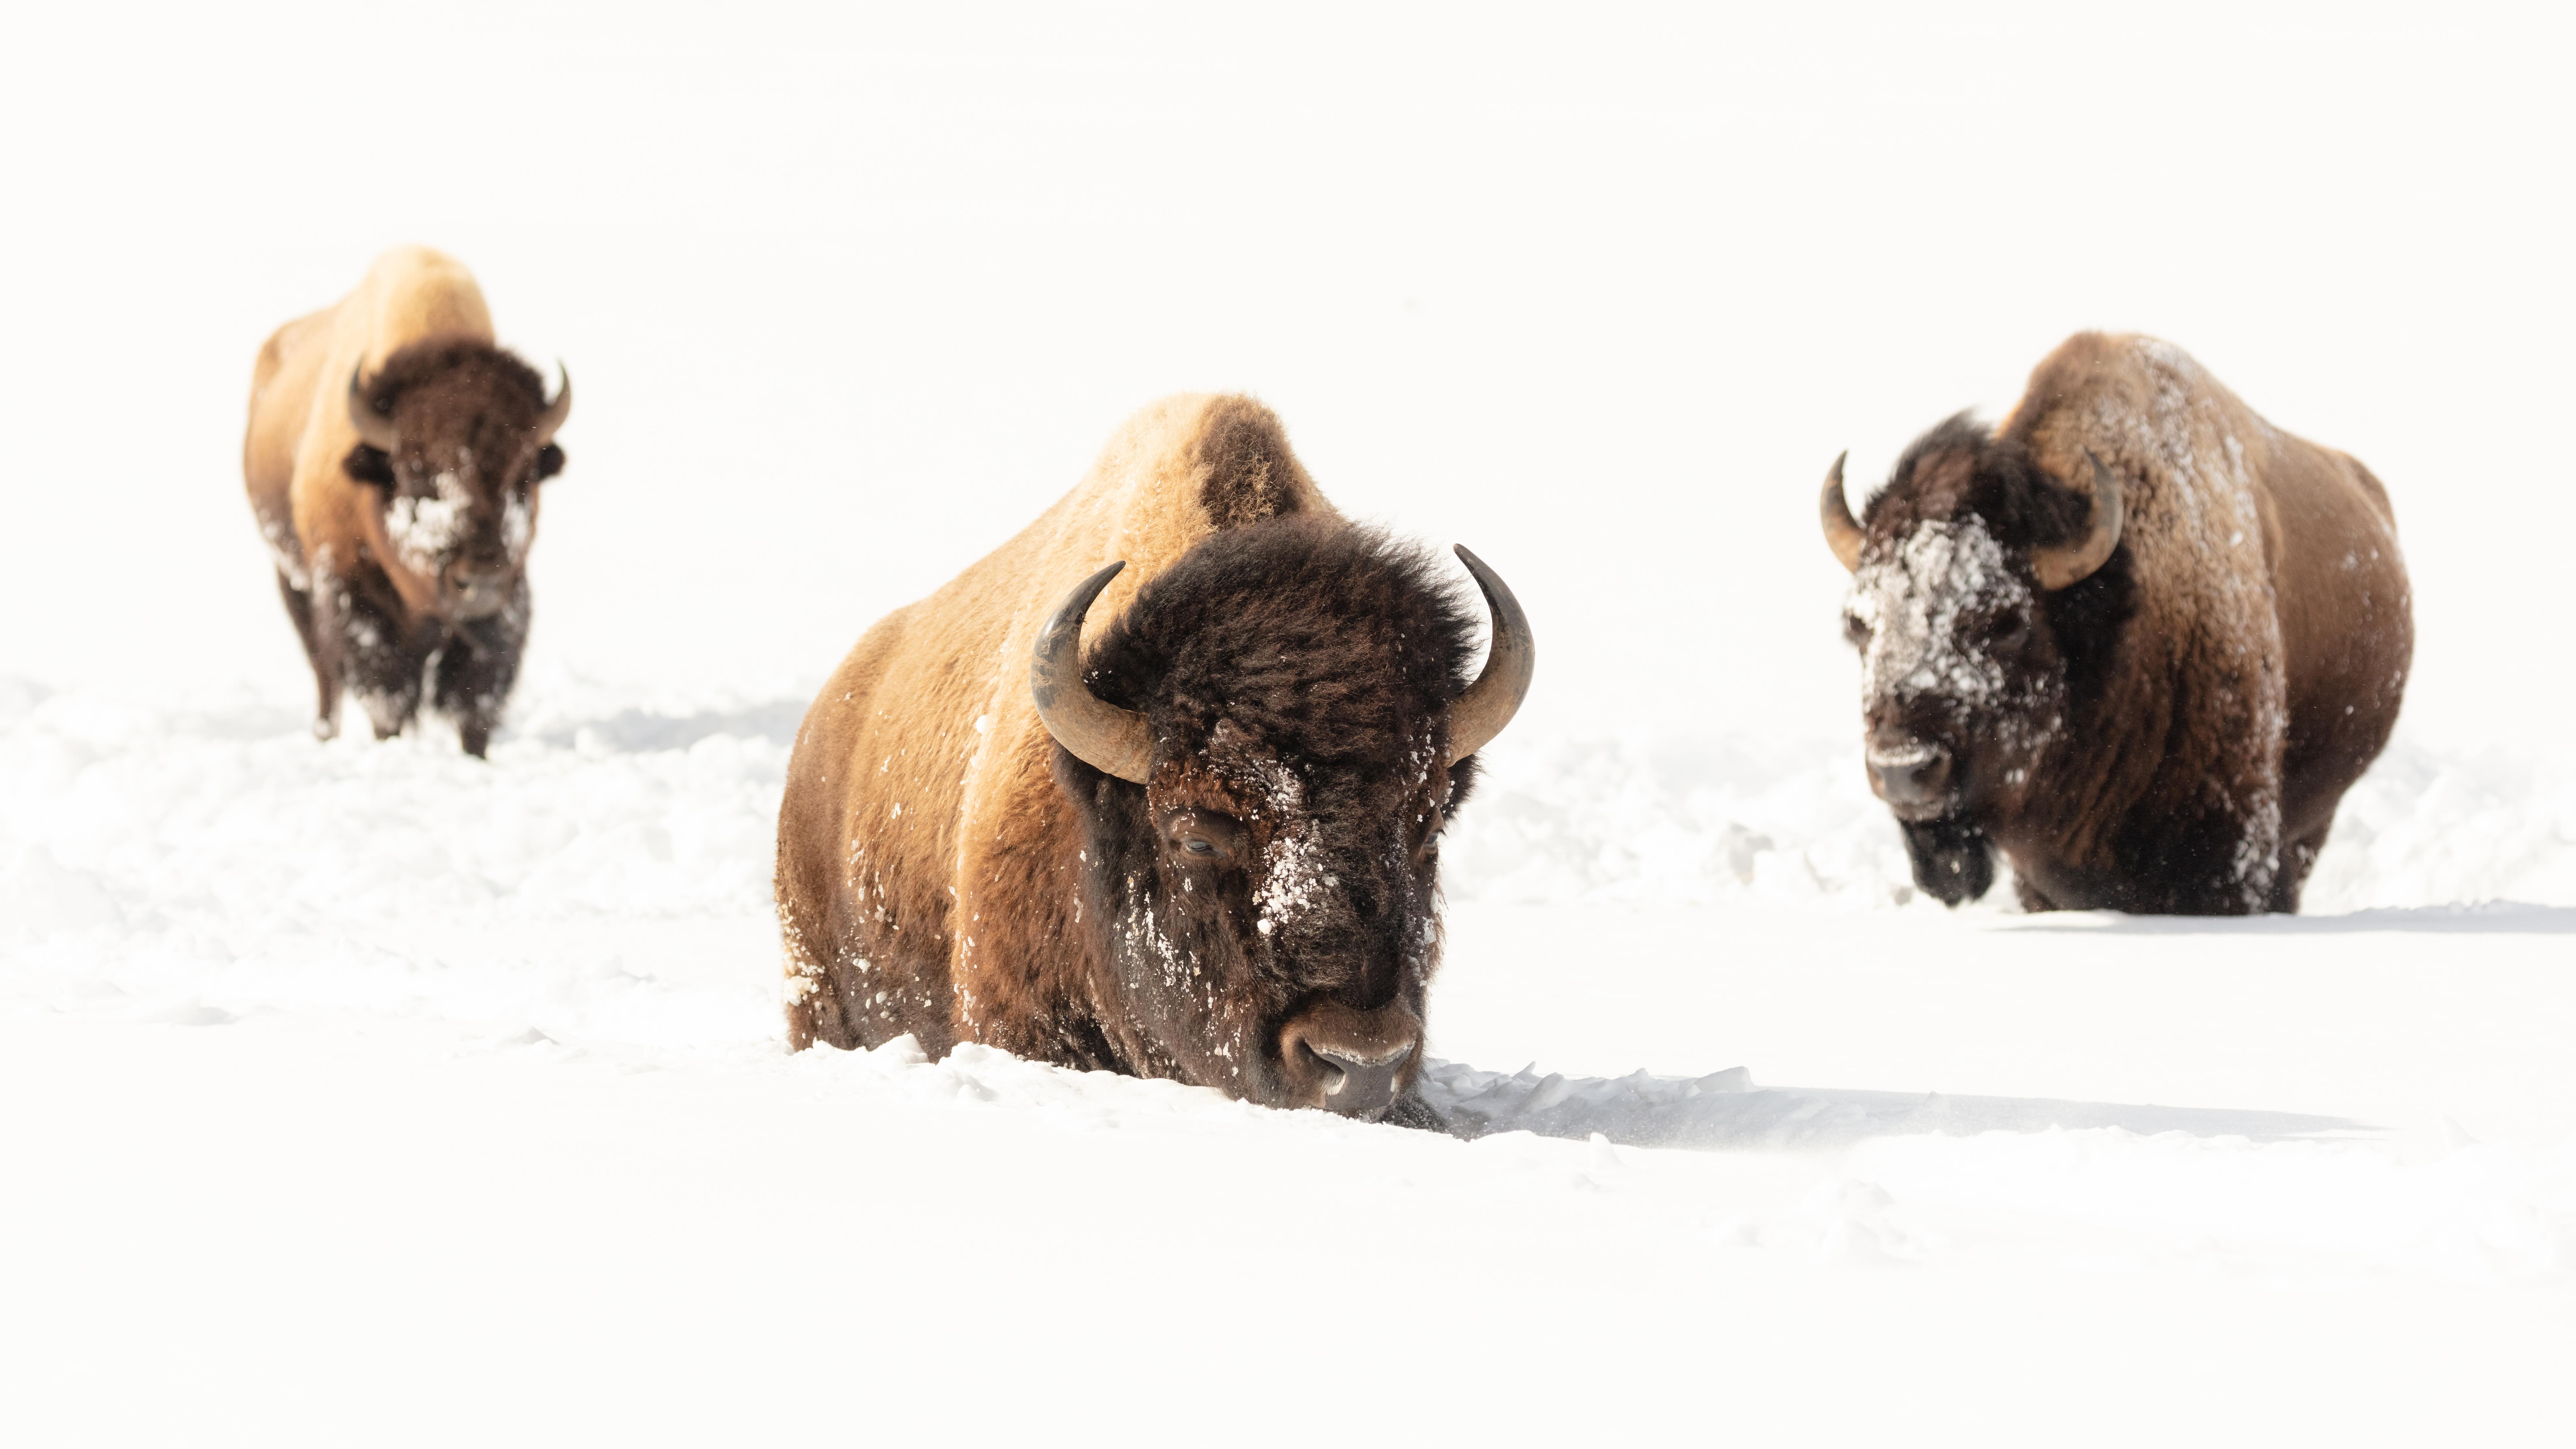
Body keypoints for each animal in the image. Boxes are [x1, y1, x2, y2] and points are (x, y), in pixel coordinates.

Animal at [243, 245, 570, 756]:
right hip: (291, 577)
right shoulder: (350, 593)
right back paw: (324, 737)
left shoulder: (508, 601)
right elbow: (386, 693)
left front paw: (476, 758)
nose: (480, 579)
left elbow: (475, 699)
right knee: (325, 675)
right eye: (416, 474)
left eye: (524, 473)